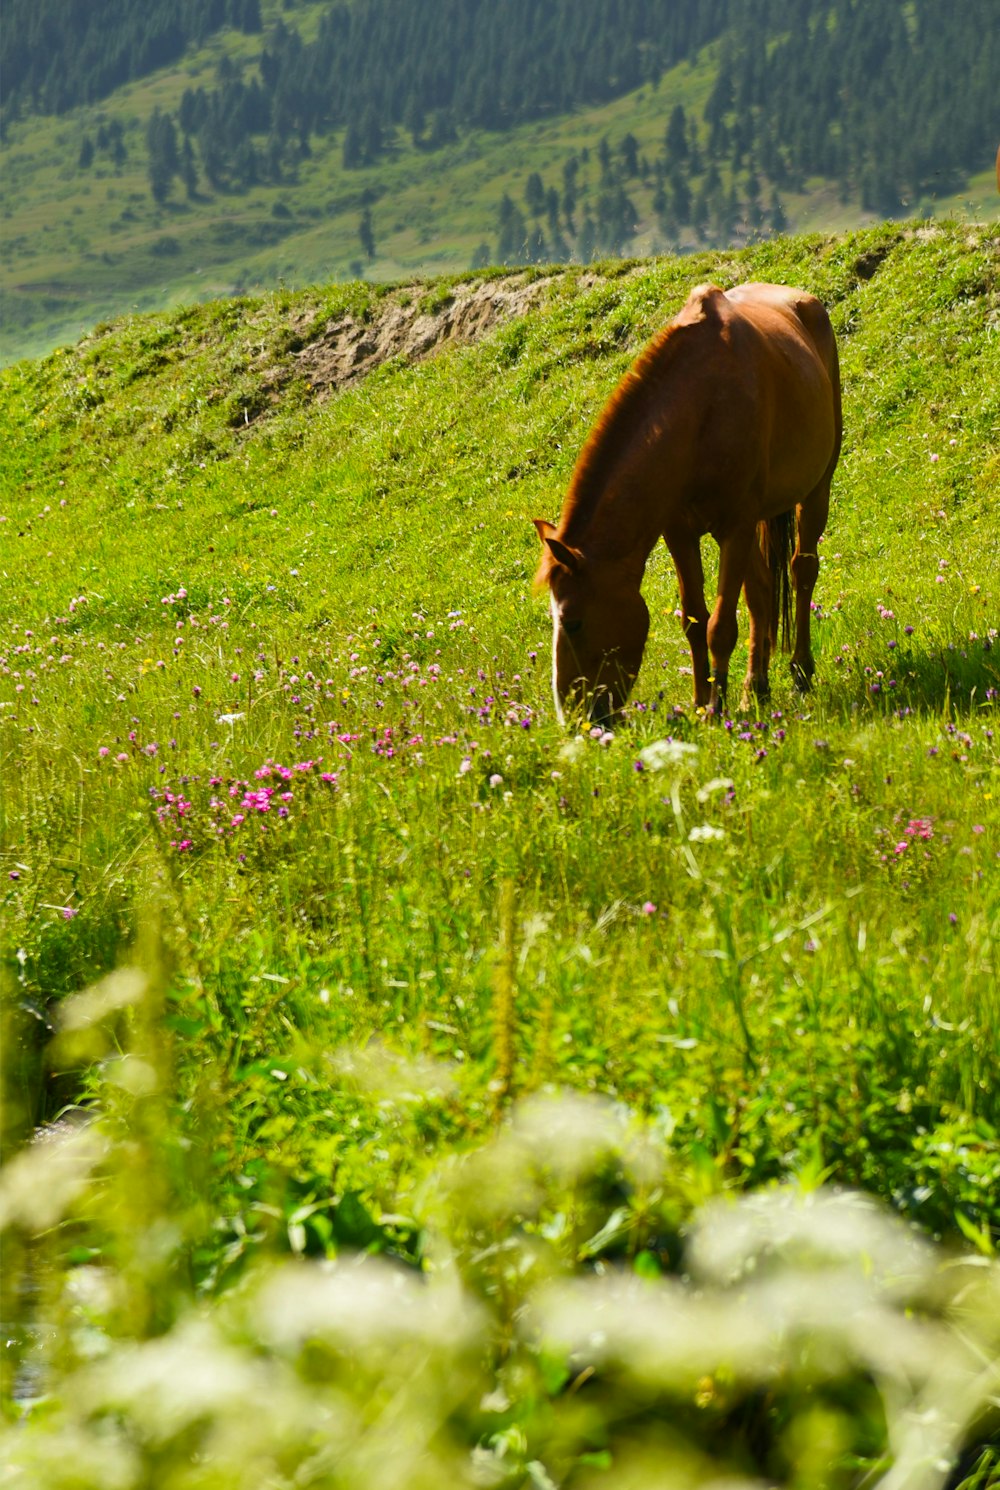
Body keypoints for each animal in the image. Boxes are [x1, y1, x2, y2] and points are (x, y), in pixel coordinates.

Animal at [536, 281, 840, 724]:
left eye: (572, 623)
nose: (575, 718)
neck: (702, 408)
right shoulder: (679, 533)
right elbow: (697, 621)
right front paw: (702, 702)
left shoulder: (735, 528)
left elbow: (721, 627)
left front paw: (715, 709)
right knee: (762, 591)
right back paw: (755, 687)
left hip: (815, 491)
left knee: (802, 571)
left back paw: (800, 671)